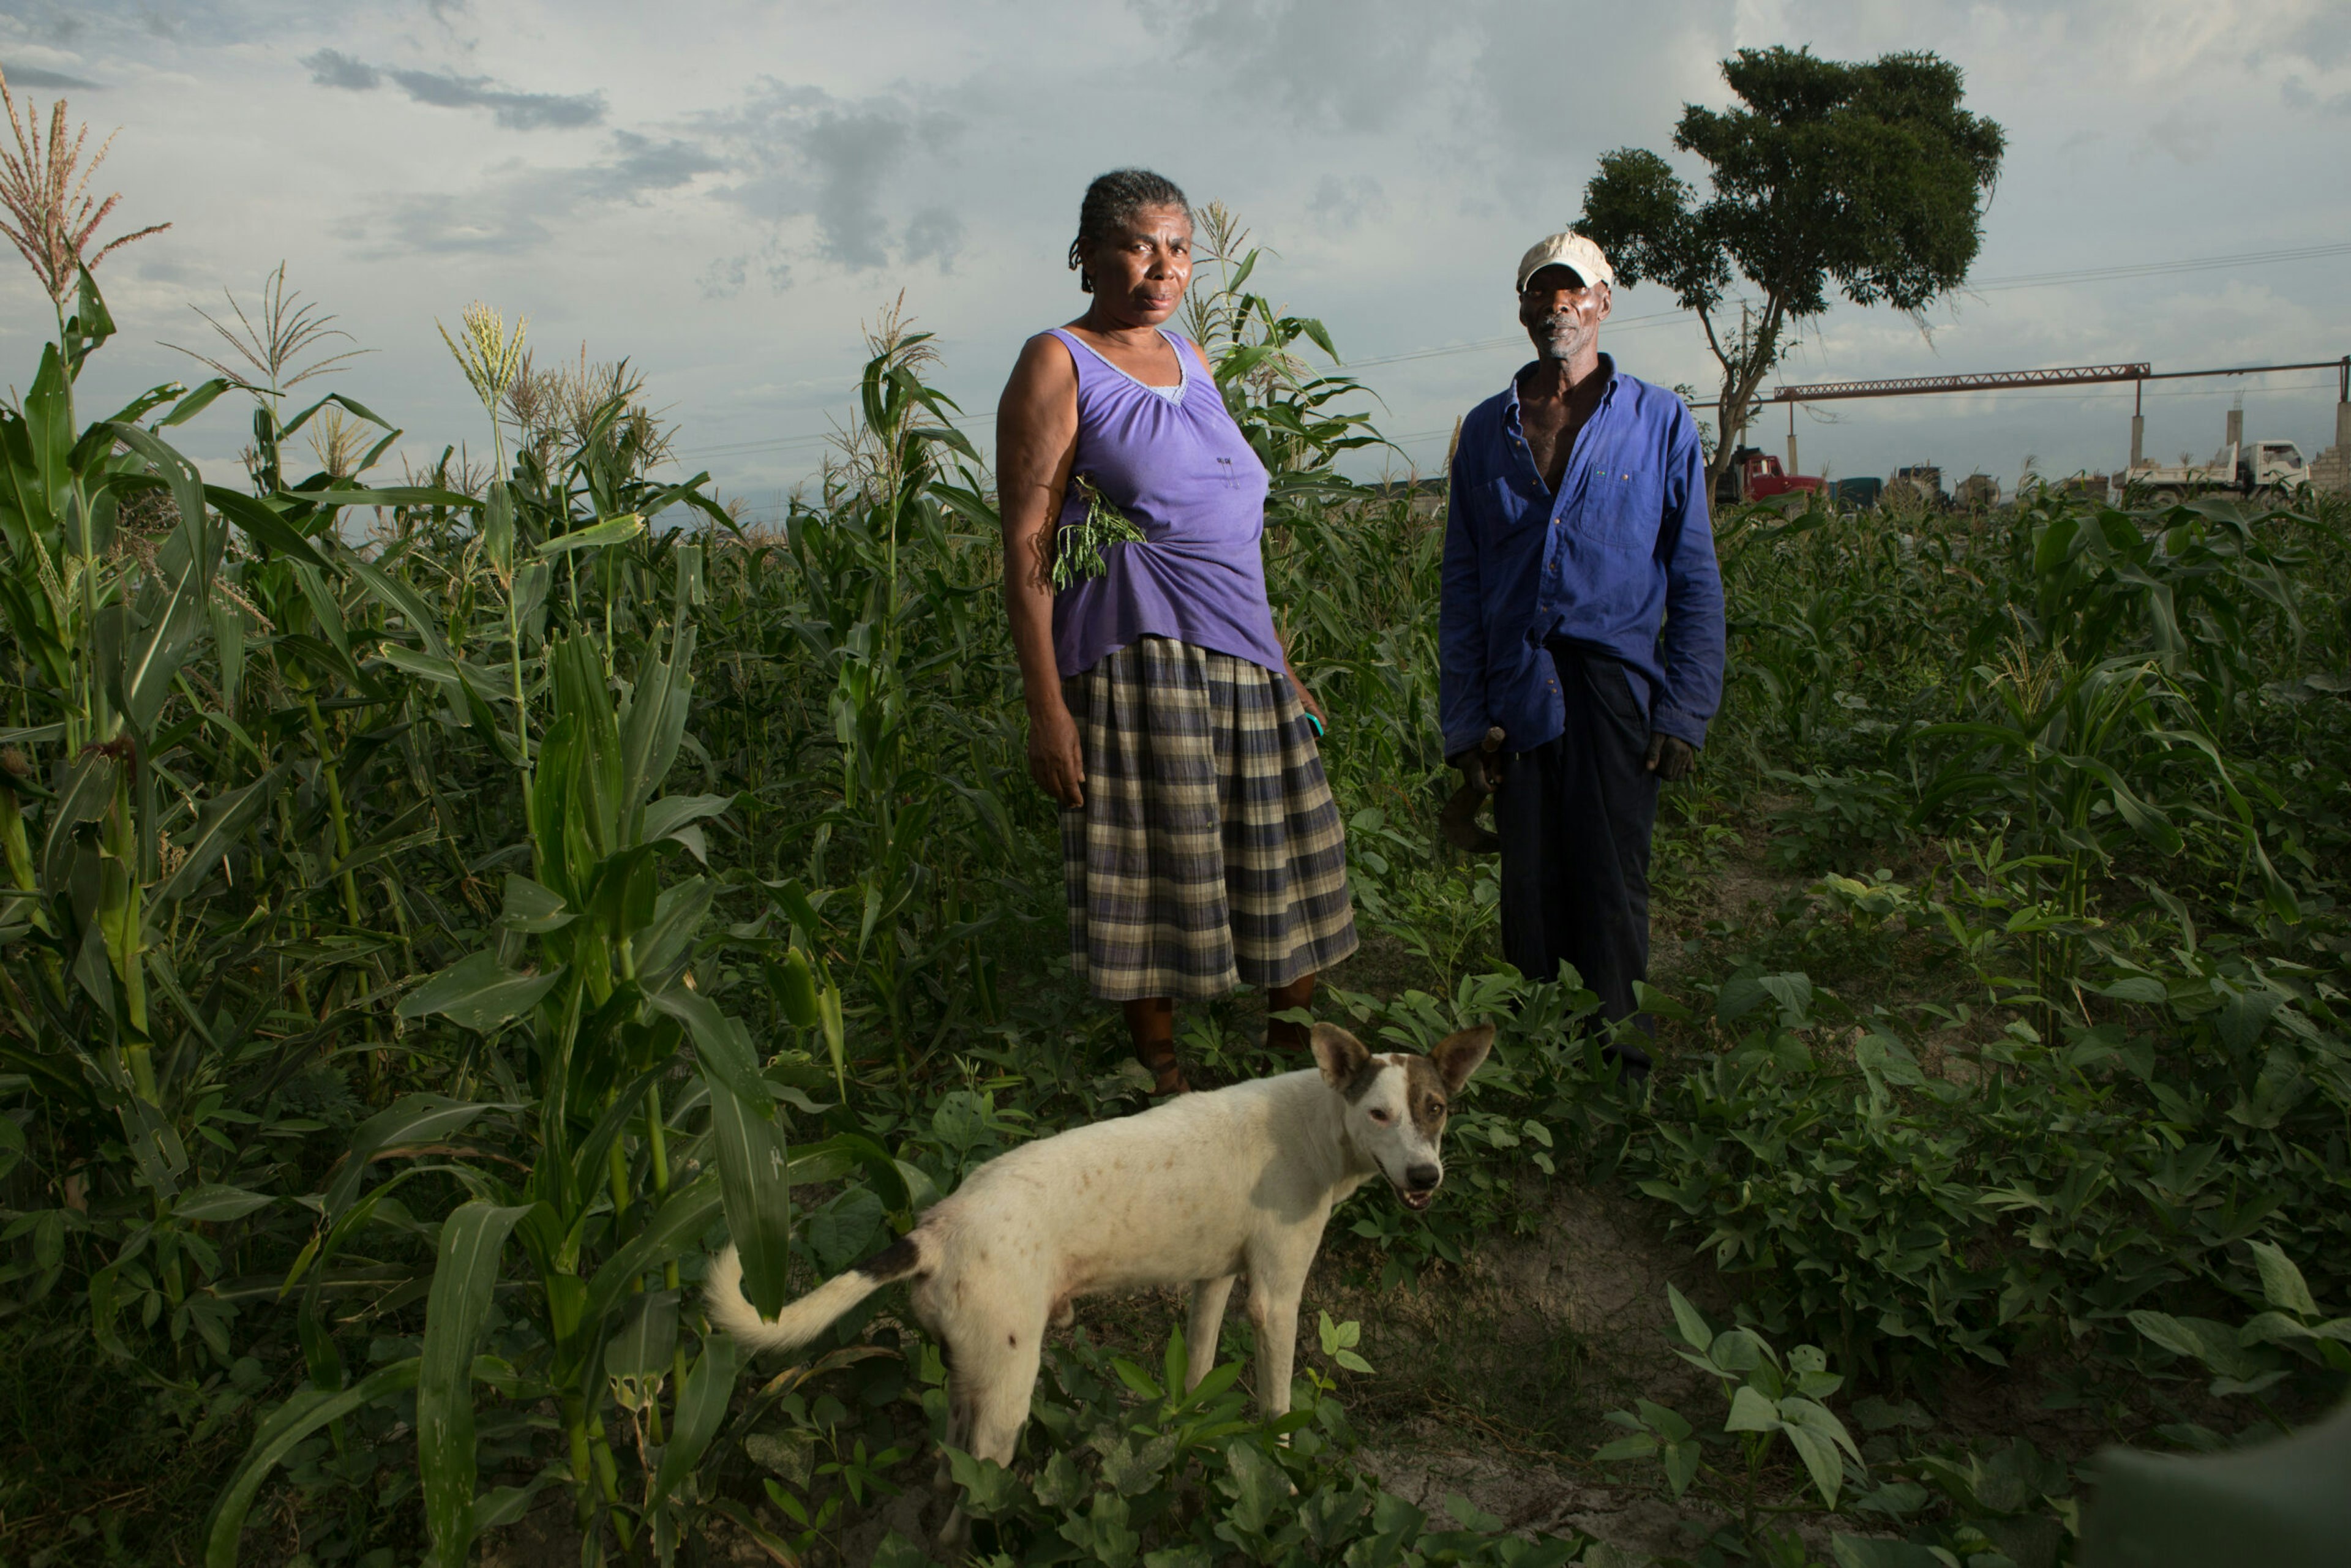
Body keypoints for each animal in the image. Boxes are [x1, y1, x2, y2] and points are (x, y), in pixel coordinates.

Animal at [705, 1025, 1495, 1495]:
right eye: (1379, 1114)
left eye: (1436, 1107)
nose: (1425, 1177)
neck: (1317, 1122)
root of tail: (938, 1226)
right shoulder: (1275, 1298)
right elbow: (1279, 1410)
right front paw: (1287, 1480)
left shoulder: (1214, 1279)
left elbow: (1197, 1373)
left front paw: (1187, 1436)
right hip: (1003, 1399)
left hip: (970, 1389)